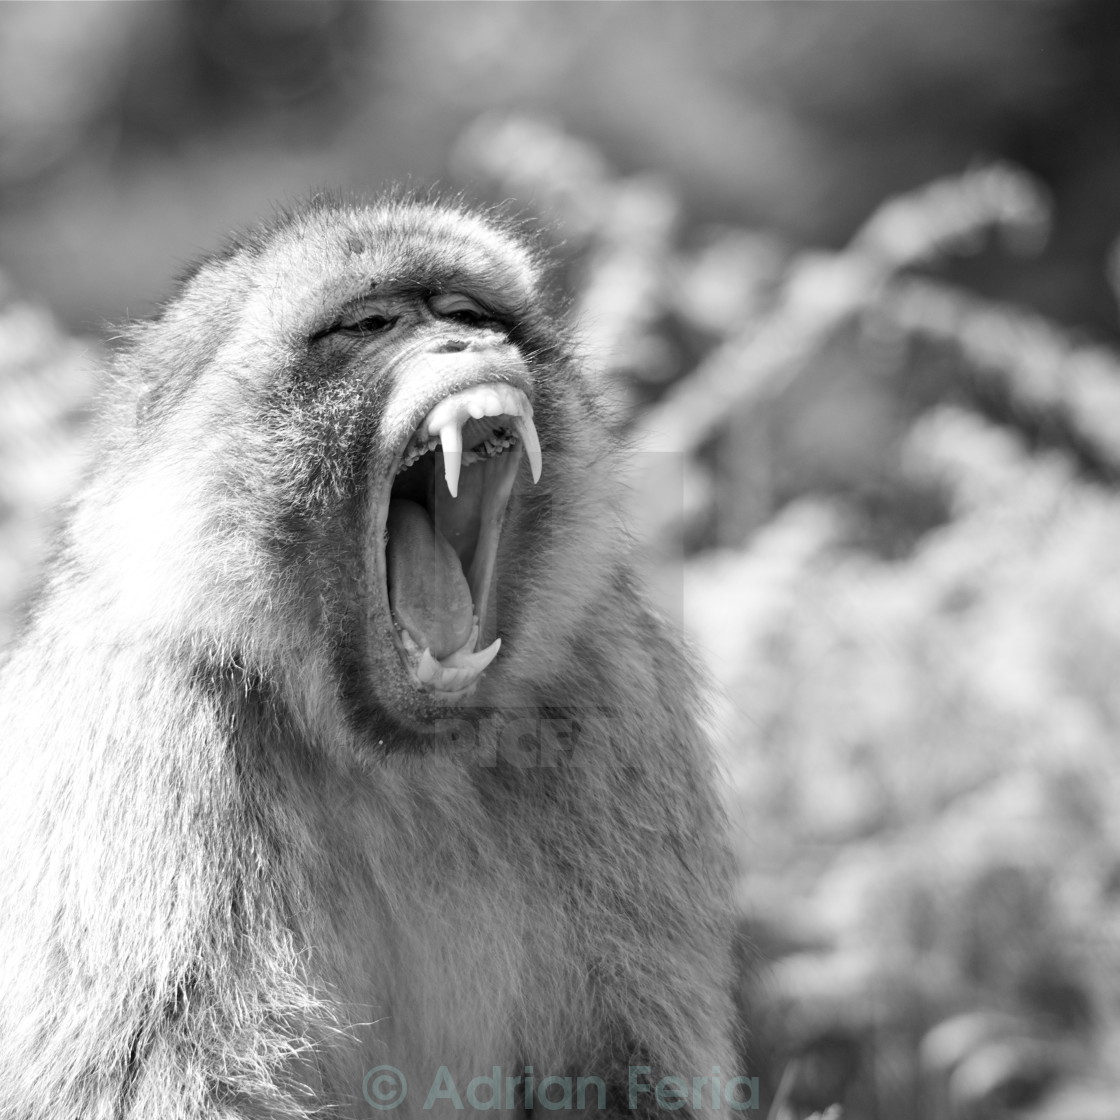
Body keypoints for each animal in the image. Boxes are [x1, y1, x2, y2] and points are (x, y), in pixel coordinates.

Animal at [0, 194, 743, 1120]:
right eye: (372, 324)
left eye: (466, 313)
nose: (468, 346)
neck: (386, 754)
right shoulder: (148, 732)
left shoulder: (615, 692)